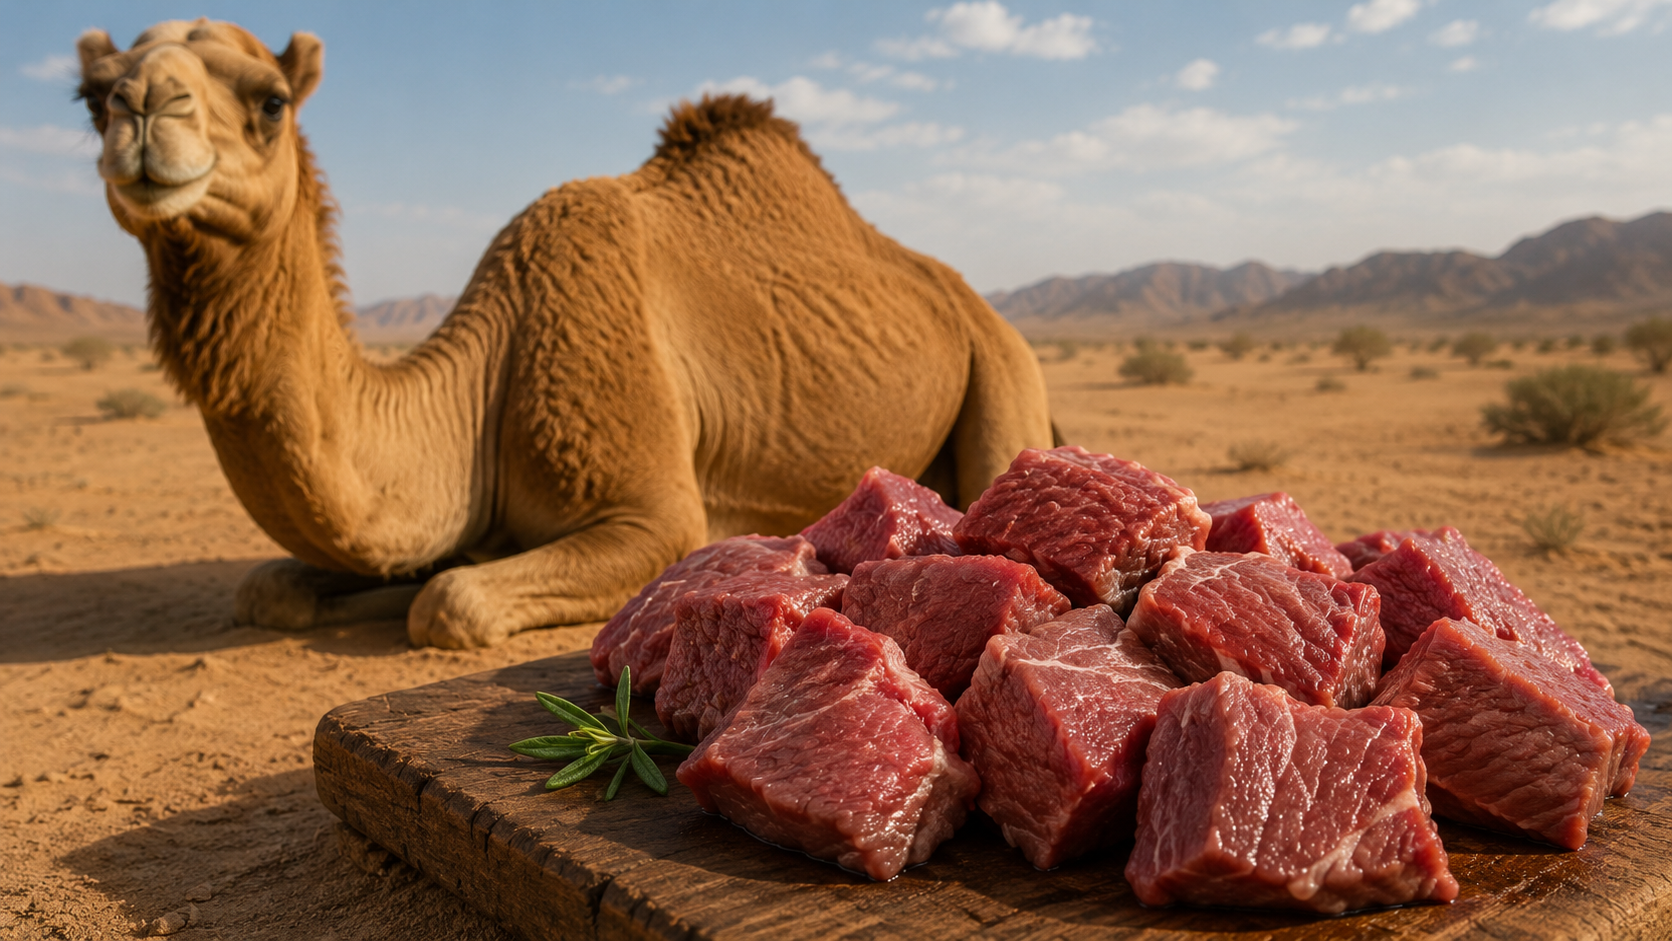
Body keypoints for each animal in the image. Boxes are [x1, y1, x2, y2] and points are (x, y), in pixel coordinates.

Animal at [75, 19, 1053, 648]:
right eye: (88, 98)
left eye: (271, 100)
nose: (141, 108)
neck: (486, 377)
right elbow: (273, 587)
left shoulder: (655, 512)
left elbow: (449, 604)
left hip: (1004, 366)